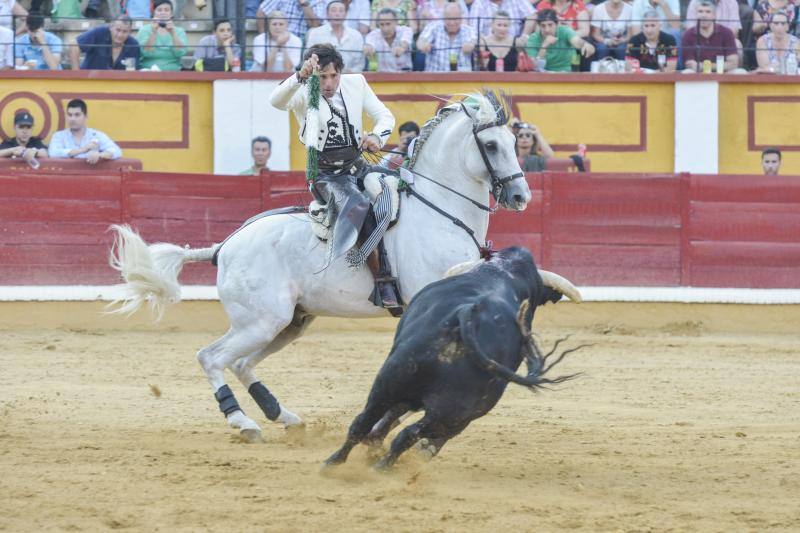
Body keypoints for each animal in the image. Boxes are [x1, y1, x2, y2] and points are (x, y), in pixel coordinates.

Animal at [109, 92, 580, 440]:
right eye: (492, 145)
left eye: (515, 143)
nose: (520, 197)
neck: (441, 210)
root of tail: (225, 246)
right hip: (261, 320)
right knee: (211, 357)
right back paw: (242, 422)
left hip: (290, 322)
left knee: (240, 363)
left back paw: (282, 416)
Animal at [324, 246, 580, 470]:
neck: (501, 273)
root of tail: (466, 316)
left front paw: (375, 443)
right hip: (454, 408)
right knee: (405, 431)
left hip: (395, 382)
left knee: (370, 422)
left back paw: (340, 463)